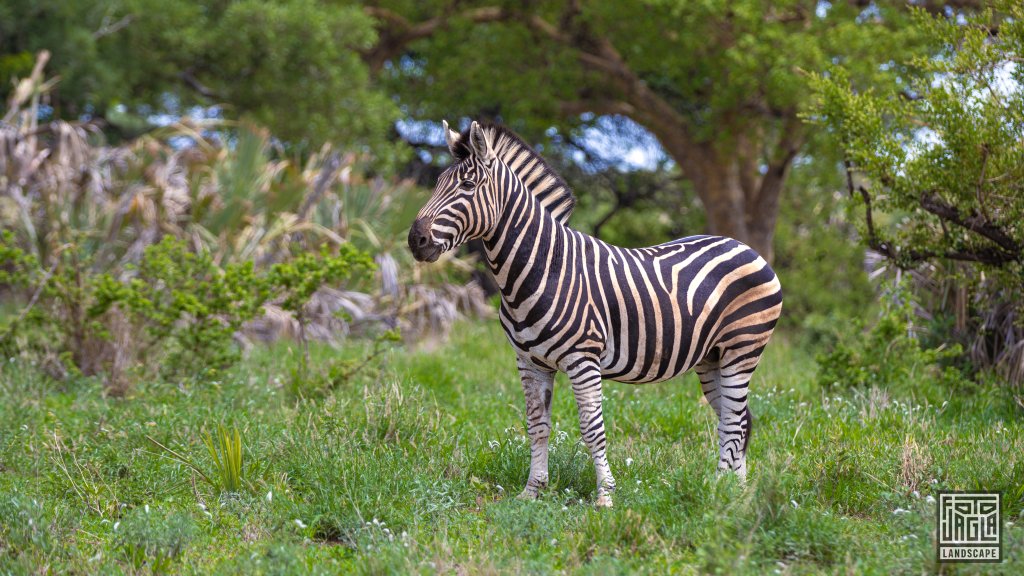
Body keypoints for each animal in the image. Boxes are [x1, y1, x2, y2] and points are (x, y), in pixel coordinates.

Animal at [407, 118, 782, 504]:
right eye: (437, 183)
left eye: (467, 185)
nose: (415, 240)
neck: (542, 268)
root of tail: (744, 246)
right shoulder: (529, 361)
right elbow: (537, 425)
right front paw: (532, 491)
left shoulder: (582, 359)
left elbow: (591, 428)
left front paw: (605, 495)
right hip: (711, 358)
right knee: (737, 419)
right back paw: (735, 493)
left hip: (742, 349)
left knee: (734, 422)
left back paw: (720, 492)